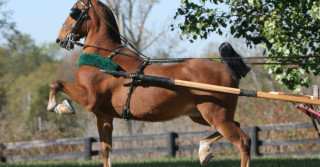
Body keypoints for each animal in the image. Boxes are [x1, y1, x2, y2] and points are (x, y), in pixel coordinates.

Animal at [48, 0, 252, 166]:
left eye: (73, 11)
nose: (59, 39)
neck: (105, 55)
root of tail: (225, 67)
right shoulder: (103, 115)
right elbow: (106, 150)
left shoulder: (88, 98)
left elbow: (56, 84)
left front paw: (58, 106)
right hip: (202, 115)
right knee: (237, 126)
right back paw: (204, 150)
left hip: (216, 116)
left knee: (244, 142)